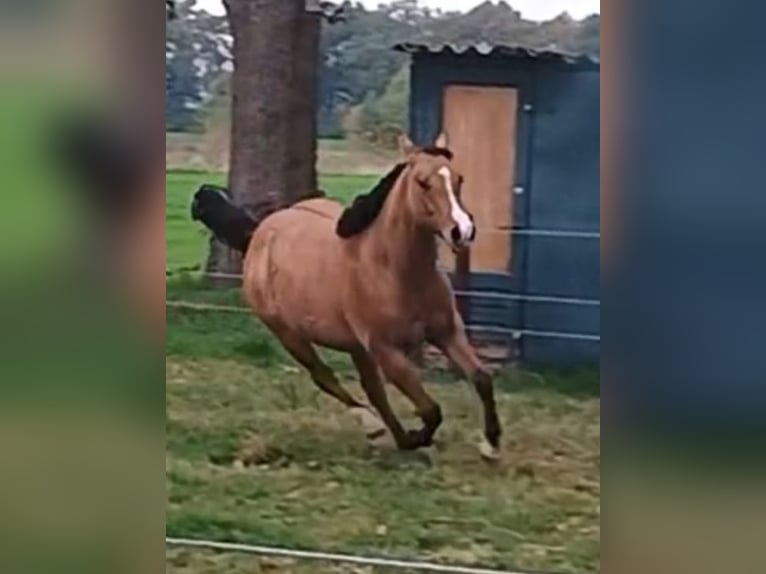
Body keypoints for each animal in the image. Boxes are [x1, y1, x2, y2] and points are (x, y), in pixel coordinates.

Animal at [192, 134, 504, 460]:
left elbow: (482, 378)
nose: (463, 231)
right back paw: (376, 428)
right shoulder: (385, 350)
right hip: (290, 335)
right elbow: (431, 410)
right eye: (422, 182)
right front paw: (419, 438)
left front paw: (491, 445)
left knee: (373, 390)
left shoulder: (447, 332)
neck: (392, 269)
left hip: (355, 346)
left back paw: (395, 436)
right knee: (326, 378)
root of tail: (258, 233)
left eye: (459, 178)